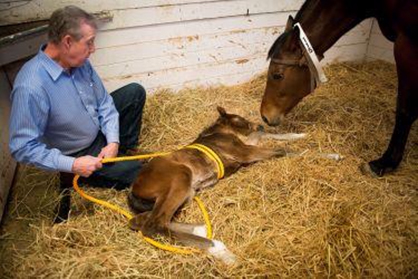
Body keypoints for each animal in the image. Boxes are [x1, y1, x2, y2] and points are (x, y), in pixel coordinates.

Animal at [127, 107, 304, 264]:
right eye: (240, 119)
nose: (260, 125)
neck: (221, 132)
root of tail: (134, 188)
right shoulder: (243, 152)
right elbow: (280, 150)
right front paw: (306, 152)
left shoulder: (246, 146)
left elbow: (266, 136)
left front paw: (299, 134)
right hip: (181, 176)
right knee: (154, 223)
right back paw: (220, 250)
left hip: (186, 193)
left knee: (141, 220)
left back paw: (200, 229)